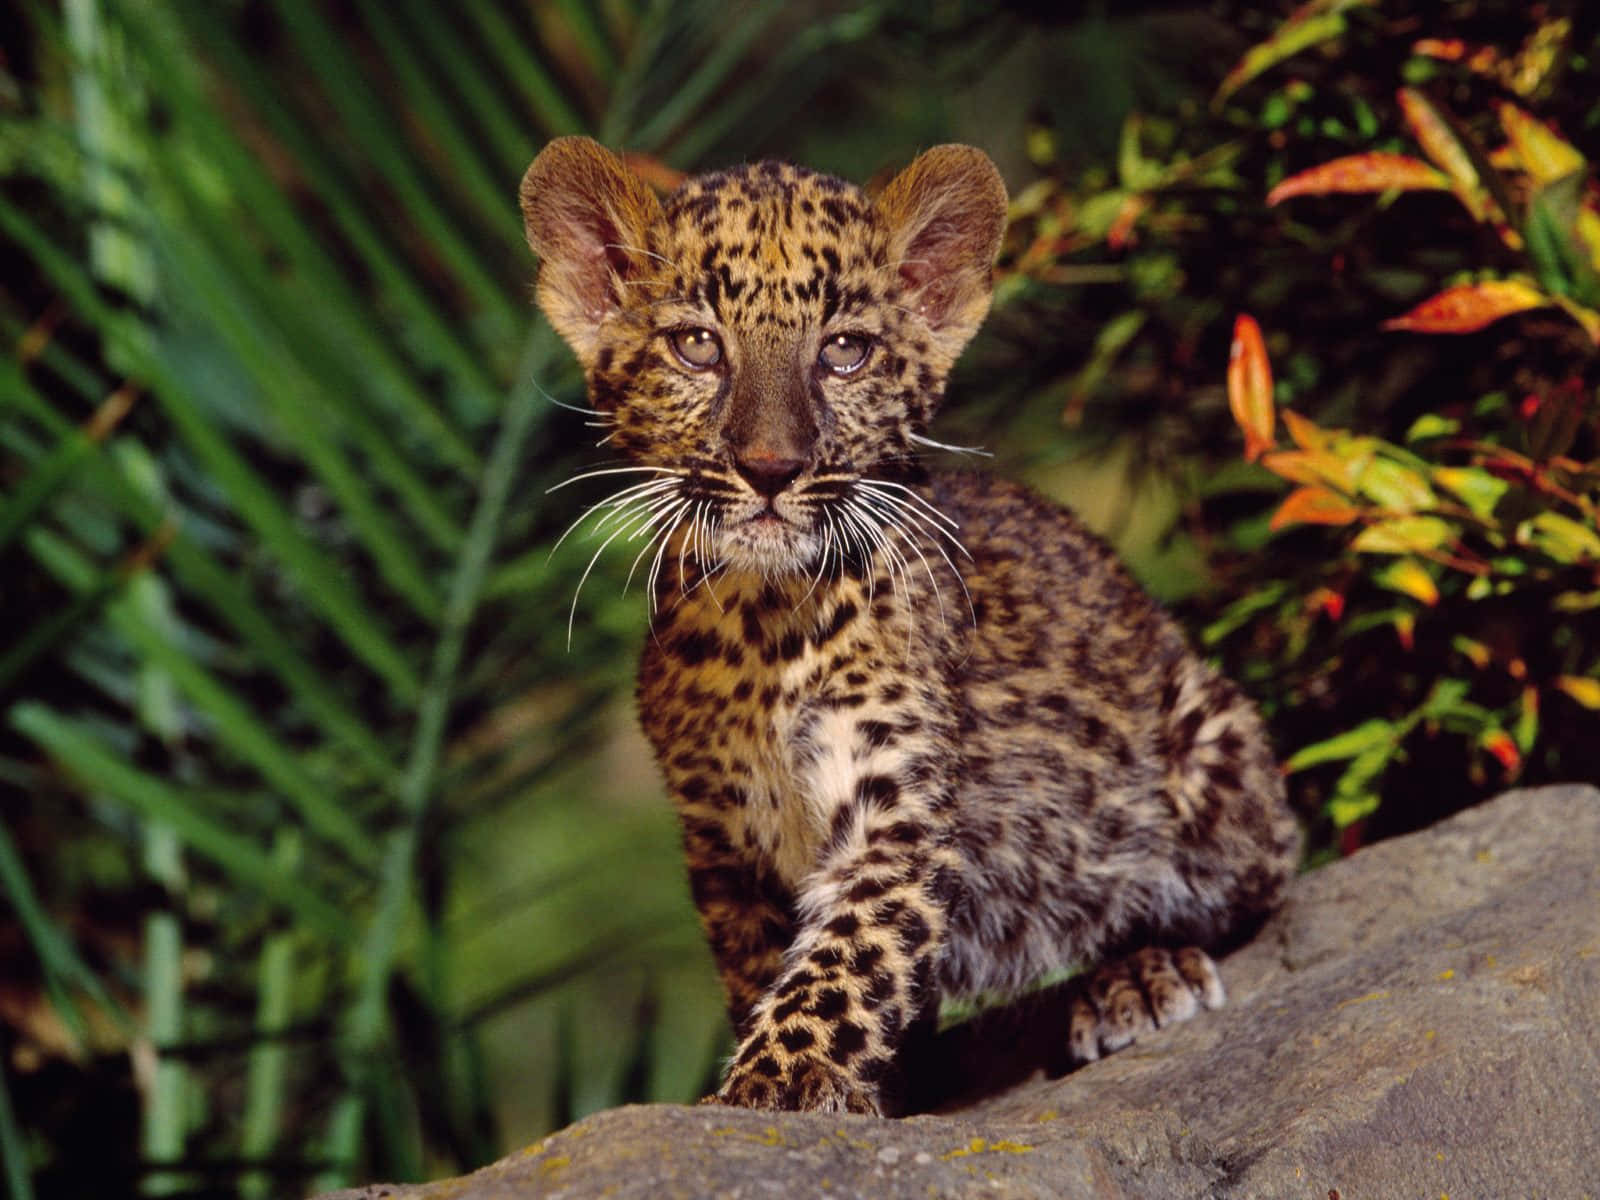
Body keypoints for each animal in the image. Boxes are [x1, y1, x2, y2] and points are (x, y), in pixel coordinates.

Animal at [518, 136, 1301, 1116]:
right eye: (697, 346)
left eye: (845, 352)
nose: (770, 468)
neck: (760, 624)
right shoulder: (725, 842)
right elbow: (772, 970)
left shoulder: (895, 810)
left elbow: (843, 962)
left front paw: (776, 1084)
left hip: (1207, 758)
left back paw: (1140, 976)